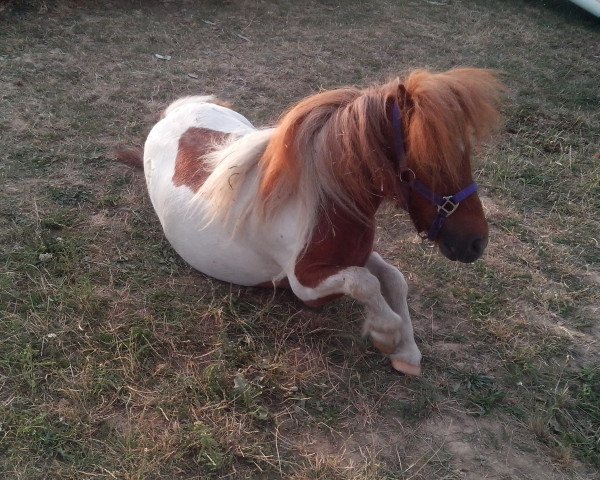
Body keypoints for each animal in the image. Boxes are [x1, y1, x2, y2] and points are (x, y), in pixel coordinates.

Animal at [116, 68, 502, 376]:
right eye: (430, 160)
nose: (475, 243)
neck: (322, 201)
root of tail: (173, 113)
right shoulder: (305, 284)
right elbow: (365, 284)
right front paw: (386, 334)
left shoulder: (356, 256)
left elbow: (394, 279)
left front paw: (407, 352)